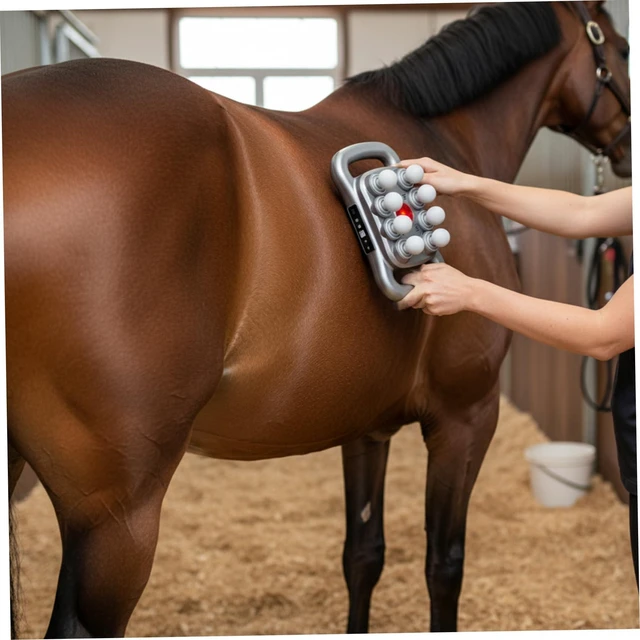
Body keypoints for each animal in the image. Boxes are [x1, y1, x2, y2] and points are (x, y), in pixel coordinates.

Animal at [4, 1, 630, 636]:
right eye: (623, 49)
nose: (627, 152)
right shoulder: (466, 416)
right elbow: (444, 564)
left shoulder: (365, 425)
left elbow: (363, 555)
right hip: (118, 513)